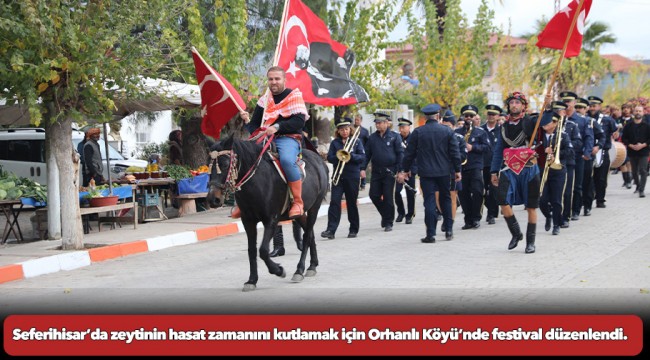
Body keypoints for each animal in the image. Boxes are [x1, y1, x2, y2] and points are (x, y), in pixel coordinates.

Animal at [206, 136, 330, 292]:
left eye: (225, 164)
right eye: (208, 165)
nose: (213, 199)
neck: (256, 182)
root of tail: (319, 159)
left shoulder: (271, 220)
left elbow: (263, 250)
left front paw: (278, 270)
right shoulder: (248, 221)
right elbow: (252, 250)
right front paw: (252, 280)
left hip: (315, 207)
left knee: (307, 236)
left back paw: (299, 270)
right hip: (300, 213)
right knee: (310, 234)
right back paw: (312, 265)